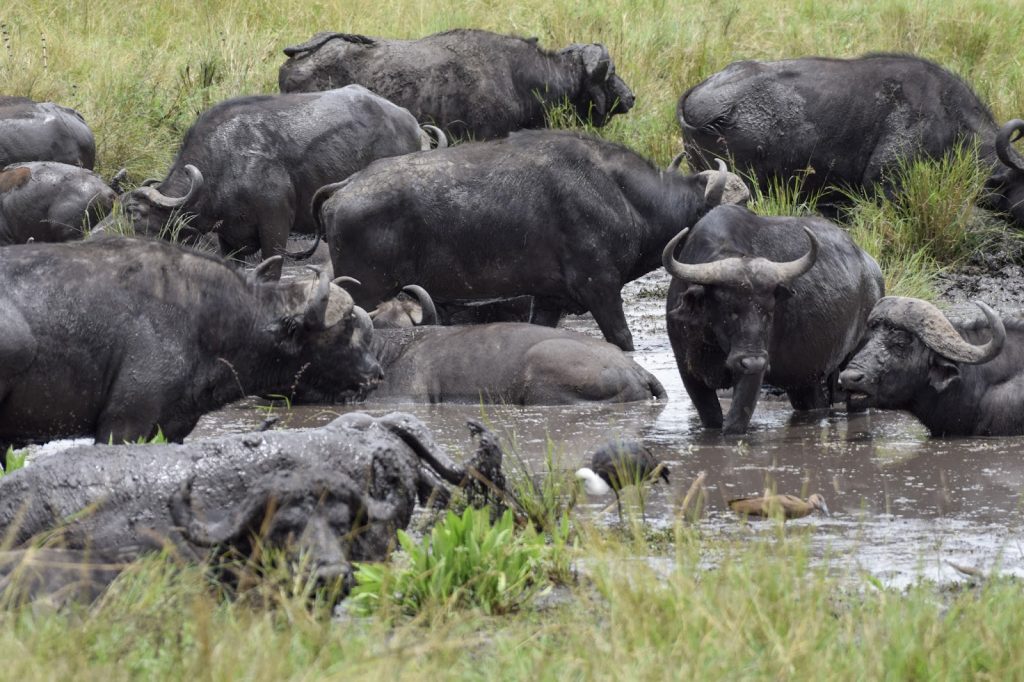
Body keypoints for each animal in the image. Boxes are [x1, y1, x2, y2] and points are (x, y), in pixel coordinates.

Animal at [94, 85, 444, 258]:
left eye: (135, 213)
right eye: (115, 208)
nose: (95, 235)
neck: (221, 170)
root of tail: (412, 125)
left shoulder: (276, 230)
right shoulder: (229, 241)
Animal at [316, 129, 749, 351]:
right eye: (730, 210)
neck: (621, 195)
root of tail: (346, 186)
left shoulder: (548, 299)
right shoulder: (601, 289)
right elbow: (622, 340)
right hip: (367, 290)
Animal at [663, 204, 884, 434]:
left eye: (769, 311)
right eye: (729, 309)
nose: (753, 360)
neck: (711, 343)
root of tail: (871, 268)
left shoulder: (752, 373)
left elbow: (735, 422)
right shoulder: (688, 373)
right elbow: (712, 419)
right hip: (804, 378)